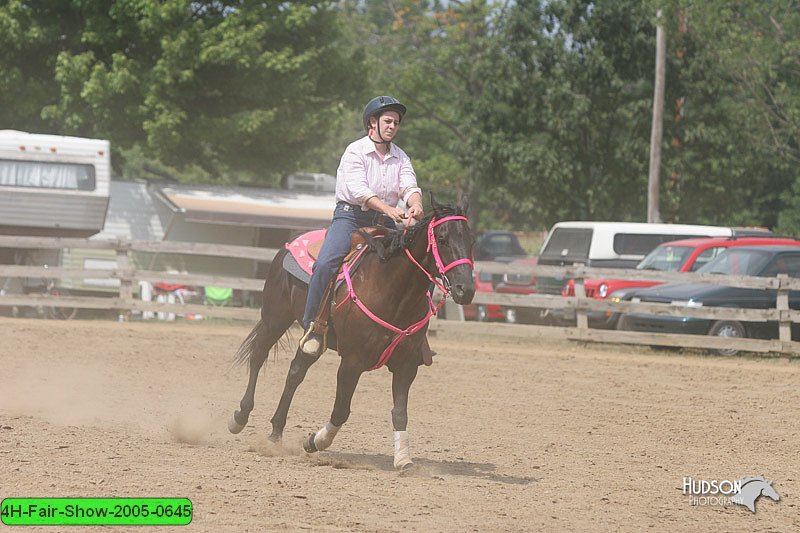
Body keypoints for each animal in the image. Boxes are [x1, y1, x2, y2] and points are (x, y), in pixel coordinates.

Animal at [227, 195, 476, 470]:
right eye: (442, 239)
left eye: (472, 240)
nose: (466, 289)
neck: (393, 290)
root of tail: (289, 244)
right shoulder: (351, 362)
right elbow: (341, 410)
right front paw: (314, 441)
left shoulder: (407, 365)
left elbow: (400, 413)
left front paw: (403, 460)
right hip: (275, 317)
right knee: (258, 355)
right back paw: (239, 417)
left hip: (313, 338)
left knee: (295, 372)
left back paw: (275, 434)